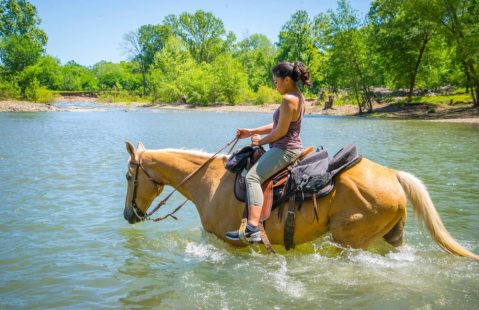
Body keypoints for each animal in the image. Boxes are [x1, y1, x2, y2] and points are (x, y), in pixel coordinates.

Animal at [124, 140, 479, 260]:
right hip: (392, 237)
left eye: (129, 177)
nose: (128, 215)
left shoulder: (228, 243)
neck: (209, 182)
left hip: (350, 240)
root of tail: (393, 175)